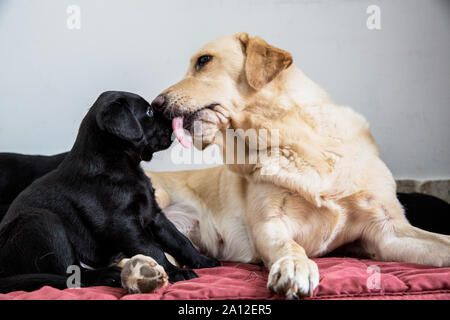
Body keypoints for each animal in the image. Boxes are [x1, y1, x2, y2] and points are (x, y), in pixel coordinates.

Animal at [0, 90, 218, 292]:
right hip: (42, 220)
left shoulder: (154, 215)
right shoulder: (123, 224)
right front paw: (175, 272)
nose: (174, 119)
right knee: (71, 274)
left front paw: (204, 260)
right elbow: (152, 249)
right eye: (148, 111)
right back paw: (107, 275)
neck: (122, 166)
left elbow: (179, 240)